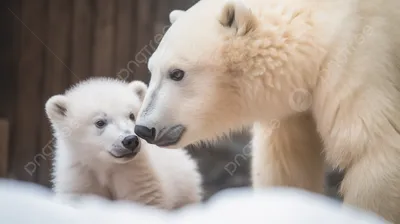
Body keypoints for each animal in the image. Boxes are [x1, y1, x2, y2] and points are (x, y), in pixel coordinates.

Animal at [134, 0, 400, 222]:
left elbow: (373, 151)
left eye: (177, 73)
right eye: (152, 69)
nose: (143, 128)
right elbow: (286, 162)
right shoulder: (291, 104)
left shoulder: (358, 56)